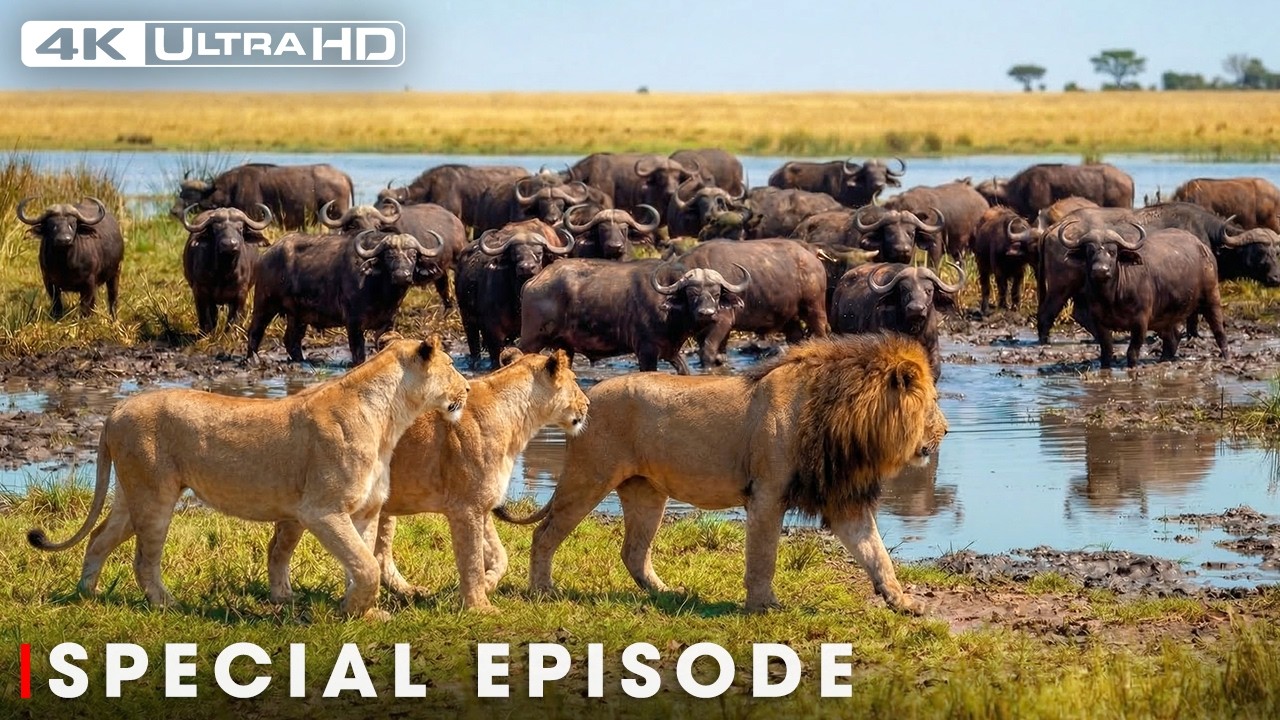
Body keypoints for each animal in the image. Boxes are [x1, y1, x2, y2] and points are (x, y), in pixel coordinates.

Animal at [27, 337, 470, 619]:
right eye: (452, 366)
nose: (466, 388)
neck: (391, 417)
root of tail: (114, 412)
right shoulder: (321, 510)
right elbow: (365, 565)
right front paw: (352, 610)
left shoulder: (363, 511)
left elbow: (360, 561)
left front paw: (364, 612)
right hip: (155, 497)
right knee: (143, 559)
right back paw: (166, 604)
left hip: (129, 495)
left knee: (99, 538)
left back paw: (87, 594)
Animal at [265, 349, 590, 612]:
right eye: (576, 380)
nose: (587, 403)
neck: (518, 419)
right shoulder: (466, 507)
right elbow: (471, 559)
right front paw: (479, 607)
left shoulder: (482, 506)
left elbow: (499, 555)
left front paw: (487, 584)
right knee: (278, 547)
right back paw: (283, 598)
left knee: (379, 555)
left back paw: (408, 592)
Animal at [496, 333, 947, 613]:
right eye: (933, 402)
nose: (945, 430)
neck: (848, 421)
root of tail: (587, 396)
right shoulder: (767, 495)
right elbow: (763, 557)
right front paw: (763, 606)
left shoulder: (842, 500)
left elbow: (876, 554)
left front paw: (903, 602)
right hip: (587, 478)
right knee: (545, 533)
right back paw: (543, 591)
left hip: (646, 493)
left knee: (633, 551)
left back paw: (669, 594)